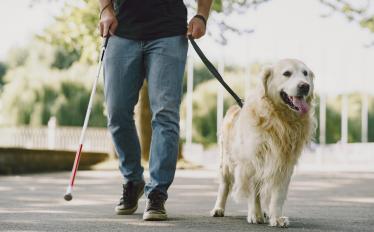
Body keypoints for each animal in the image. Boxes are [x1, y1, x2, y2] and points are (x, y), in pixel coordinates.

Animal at [210, 59, 316, 227]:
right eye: (287, 73)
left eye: (305, 73)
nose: (305, 86)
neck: (279, 119)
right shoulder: (253, 161)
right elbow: (254, 192)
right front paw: (255, 214)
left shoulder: (284, 164)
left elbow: (278, 195)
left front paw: (276, 217)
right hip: (226, 162)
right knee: (224, 185)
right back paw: (218, 209)